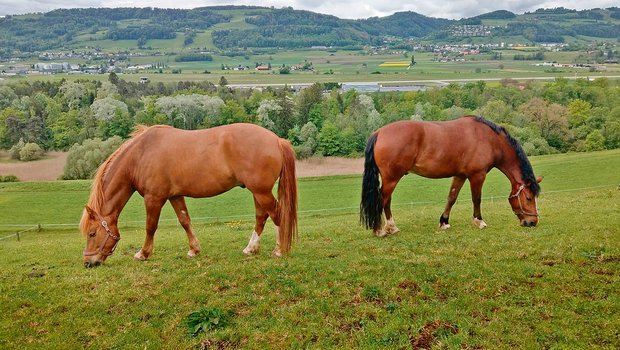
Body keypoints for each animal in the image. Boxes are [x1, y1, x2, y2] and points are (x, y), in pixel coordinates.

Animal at [80, 123, 298, 268]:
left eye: (92, 233)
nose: (88, 262)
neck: (141, 155)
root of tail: (277, 140)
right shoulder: (175, 196)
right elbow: (185, 221)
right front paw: (194, 249)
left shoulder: (154, 198)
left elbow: (151, 226)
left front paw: (143, 253)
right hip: (257, 192)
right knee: (262, 217)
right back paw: (251, 248)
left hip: (261, 192)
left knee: (277, 215)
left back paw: (279, 250)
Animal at [358, 116, 544, 237]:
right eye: (528, 198)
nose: (532, 222)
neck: (490, 140)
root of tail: (379, 132)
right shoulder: (477, 175)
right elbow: (477, 199)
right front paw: (479, 221)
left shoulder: (460, 175)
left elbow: (451, 198)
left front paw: (444, 222)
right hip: (391, 179)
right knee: (382, 200)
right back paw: (380, 230)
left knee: (387, 201)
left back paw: (392, 227)